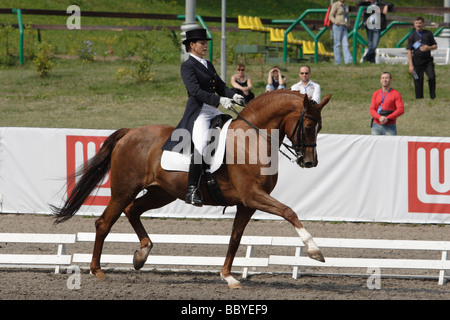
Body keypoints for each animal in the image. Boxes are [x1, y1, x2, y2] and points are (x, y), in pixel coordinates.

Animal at [53, 89, 330, 288]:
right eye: (308, 126)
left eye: (321, 127)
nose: (310, 162)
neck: (252, 141)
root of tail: (130, 132)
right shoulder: (253, 195)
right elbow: (289, 211)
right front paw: (315, 251)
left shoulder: (246, 204)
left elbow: (235, 237)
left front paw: (228, 276)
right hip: (124, 189)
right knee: (104, 222)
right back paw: (98, 271)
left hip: (160, 193)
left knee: (133, 211)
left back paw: (141, 255)